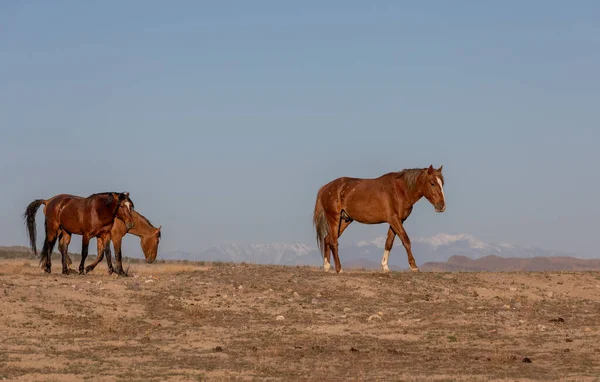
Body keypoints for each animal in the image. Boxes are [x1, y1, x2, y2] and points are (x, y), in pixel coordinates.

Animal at [314, 166, 446, 274]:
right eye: (432, 183)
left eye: (442, 183)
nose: (442, 206)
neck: (399, 190)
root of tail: (326, 187)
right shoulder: (393, 219)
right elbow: (406, 240)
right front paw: (413, 266)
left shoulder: (397, 221)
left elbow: (389, 243)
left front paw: (385, 267)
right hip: (334, 218)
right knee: (333, 242)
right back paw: (339, 269)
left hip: (345, 220)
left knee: (327, 239)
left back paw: (326, 267)